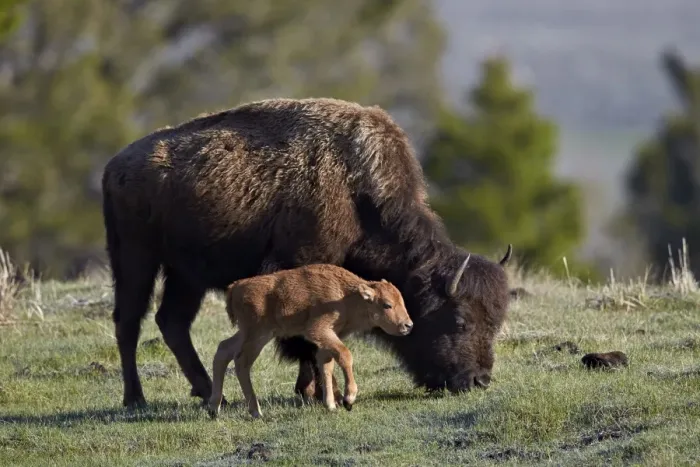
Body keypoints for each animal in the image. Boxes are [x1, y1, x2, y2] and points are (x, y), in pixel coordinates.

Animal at [208, 263, 413, 419]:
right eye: (387, 305)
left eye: (401, 301)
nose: (408, 325)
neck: (345, 294)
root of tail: (236, 287)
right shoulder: (319, 330)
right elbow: (345, 355)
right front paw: (348, 399)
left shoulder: (327, 339)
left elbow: (326, 365)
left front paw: (330, 405)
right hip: (258, 335)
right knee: (241, 362)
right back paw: (256, 411)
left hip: (247, 333)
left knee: (223, 350)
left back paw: (214, 409)